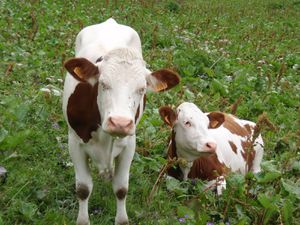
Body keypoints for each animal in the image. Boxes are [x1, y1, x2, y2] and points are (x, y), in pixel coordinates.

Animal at [63, 18, 179, 225]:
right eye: (103, 84)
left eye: (142, 89)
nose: (120, 123)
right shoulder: (74, 142)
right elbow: (83, 189)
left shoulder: (129, 145)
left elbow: (121, 188)